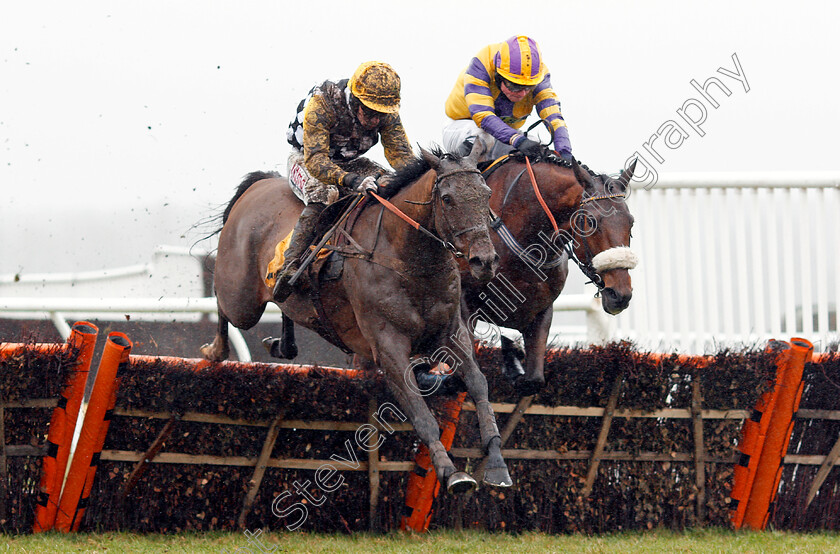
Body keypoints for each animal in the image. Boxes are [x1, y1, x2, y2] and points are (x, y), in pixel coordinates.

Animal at [200, 142, 512, 492]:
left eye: (486, 194)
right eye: (447, 198)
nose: (484, 261)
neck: (407, 257)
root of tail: (259, 183)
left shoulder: (450, 334)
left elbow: (478, 384)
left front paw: (497, 464)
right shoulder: (387, 346)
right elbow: (420, 412)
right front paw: (451, 472)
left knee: (282, 307)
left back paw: (282, 343)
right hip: (241, 297)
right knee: (223, 303)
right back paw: (215, 349)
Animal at [460, 149, 636, 394]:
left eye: (631, 223)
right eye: (591, 222)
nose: (620, 295)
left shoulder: (541, 309)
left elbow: (533, 380)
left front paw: (515, 371)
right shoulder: (465, 304)